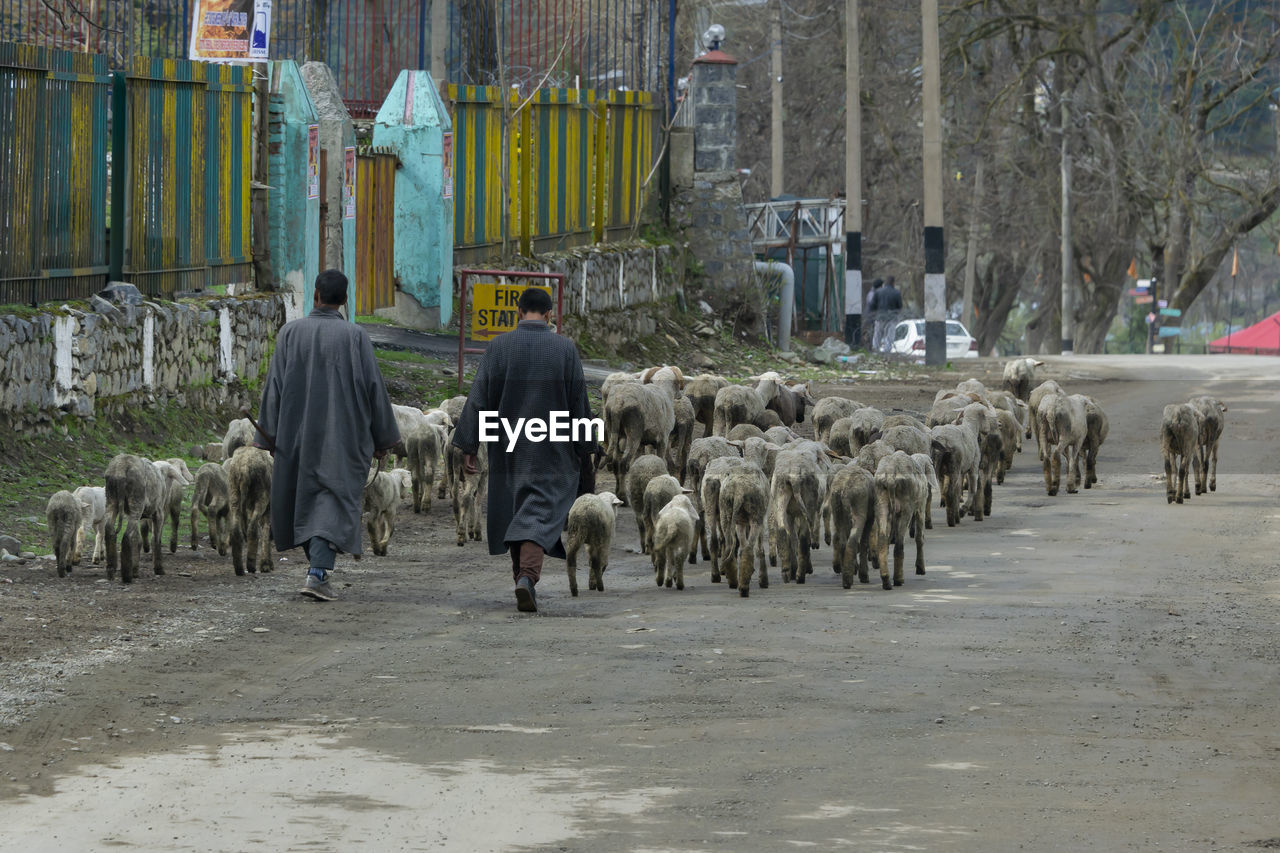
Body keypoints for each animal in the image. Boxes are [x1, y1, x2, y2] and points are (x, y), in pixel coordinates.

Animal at [225, 440, 272, 573]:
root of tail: (244, 467)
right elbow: (266, 530)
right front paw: (266, 564)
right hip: (262, 495)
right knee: (253, 528)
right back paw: (251, 564)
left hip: (234, 491)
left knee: (236, 528)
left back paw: (239, 567)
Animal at [824, 461, 875, 589]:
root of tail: (843, 488)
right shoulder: (870, 518)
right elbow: (864, 543)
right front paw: (863, 574)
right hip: (858, 511)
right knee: (852, 541)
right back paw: (849, 578)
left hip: (837, 511)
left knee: (842, 541)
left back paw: (845, 571)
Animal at [875, 450, 926, 584]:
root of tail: (890, 477)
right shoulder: (920, 507)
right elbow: (919, 537)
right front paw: (920, 568)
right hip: (906, 508)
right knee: (899, 545)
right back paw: (898, 579)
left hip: (881, 505)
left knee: (883, 540)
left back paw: (886, 579)